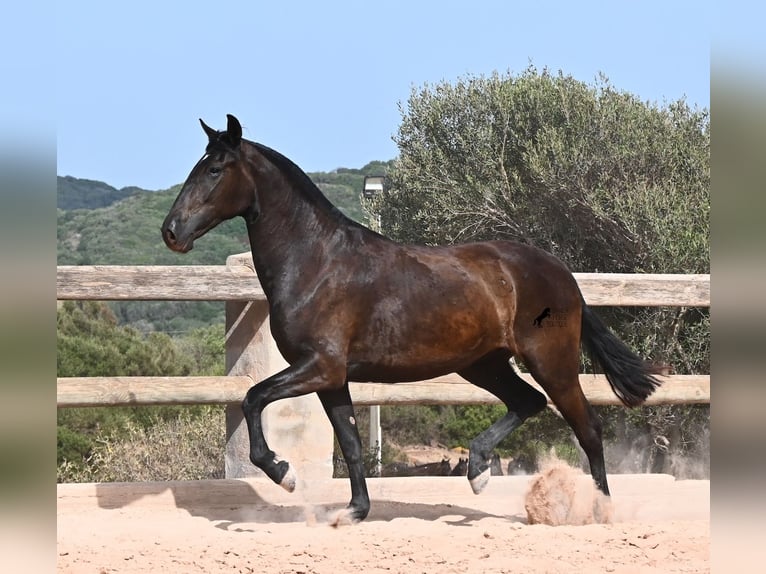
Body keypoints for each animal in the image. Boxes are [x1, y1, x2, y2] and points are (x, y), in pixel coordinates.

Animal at [161, 114, 664, 524]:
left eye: (214, 169)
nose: (172, 232)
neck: (316, 263)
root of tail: (563, 275)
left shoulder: (318, 366)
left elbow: (252, 398)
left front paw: (283, 473)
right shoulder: (332, 376)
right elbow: (351, 443)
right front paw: (353, 511)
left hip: (551, 361)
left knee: (588, 428)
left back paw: (598, 511)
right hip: (483, 363)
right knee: (527, 402)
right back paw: (478, 470)